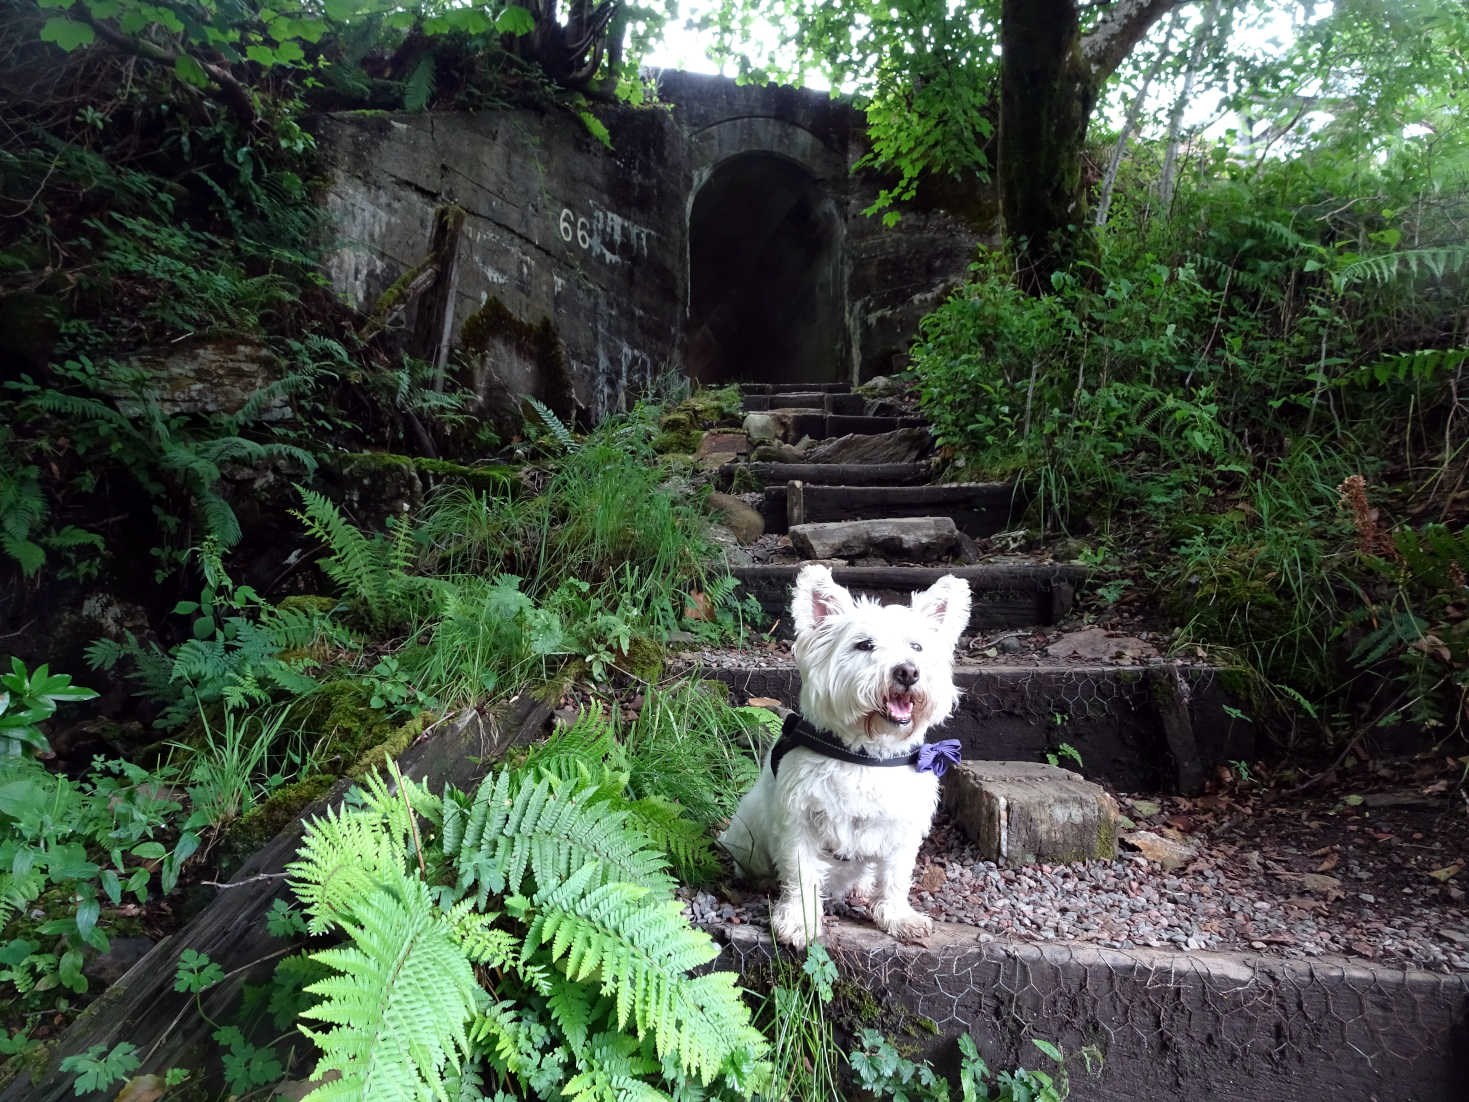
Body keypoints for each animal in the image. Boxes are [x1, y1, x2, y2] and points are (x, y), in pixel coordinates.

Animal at [716, 564, 969, 952]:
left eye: (917, 646)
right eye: (864, 645)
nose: (908, 671)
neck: (867, 755)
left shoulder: (902, 826)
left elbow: (896, 875)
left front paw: (898, 916)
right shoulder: (800, 821)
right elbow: (802, 873)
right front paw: (799, 921)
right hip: (748, 835)